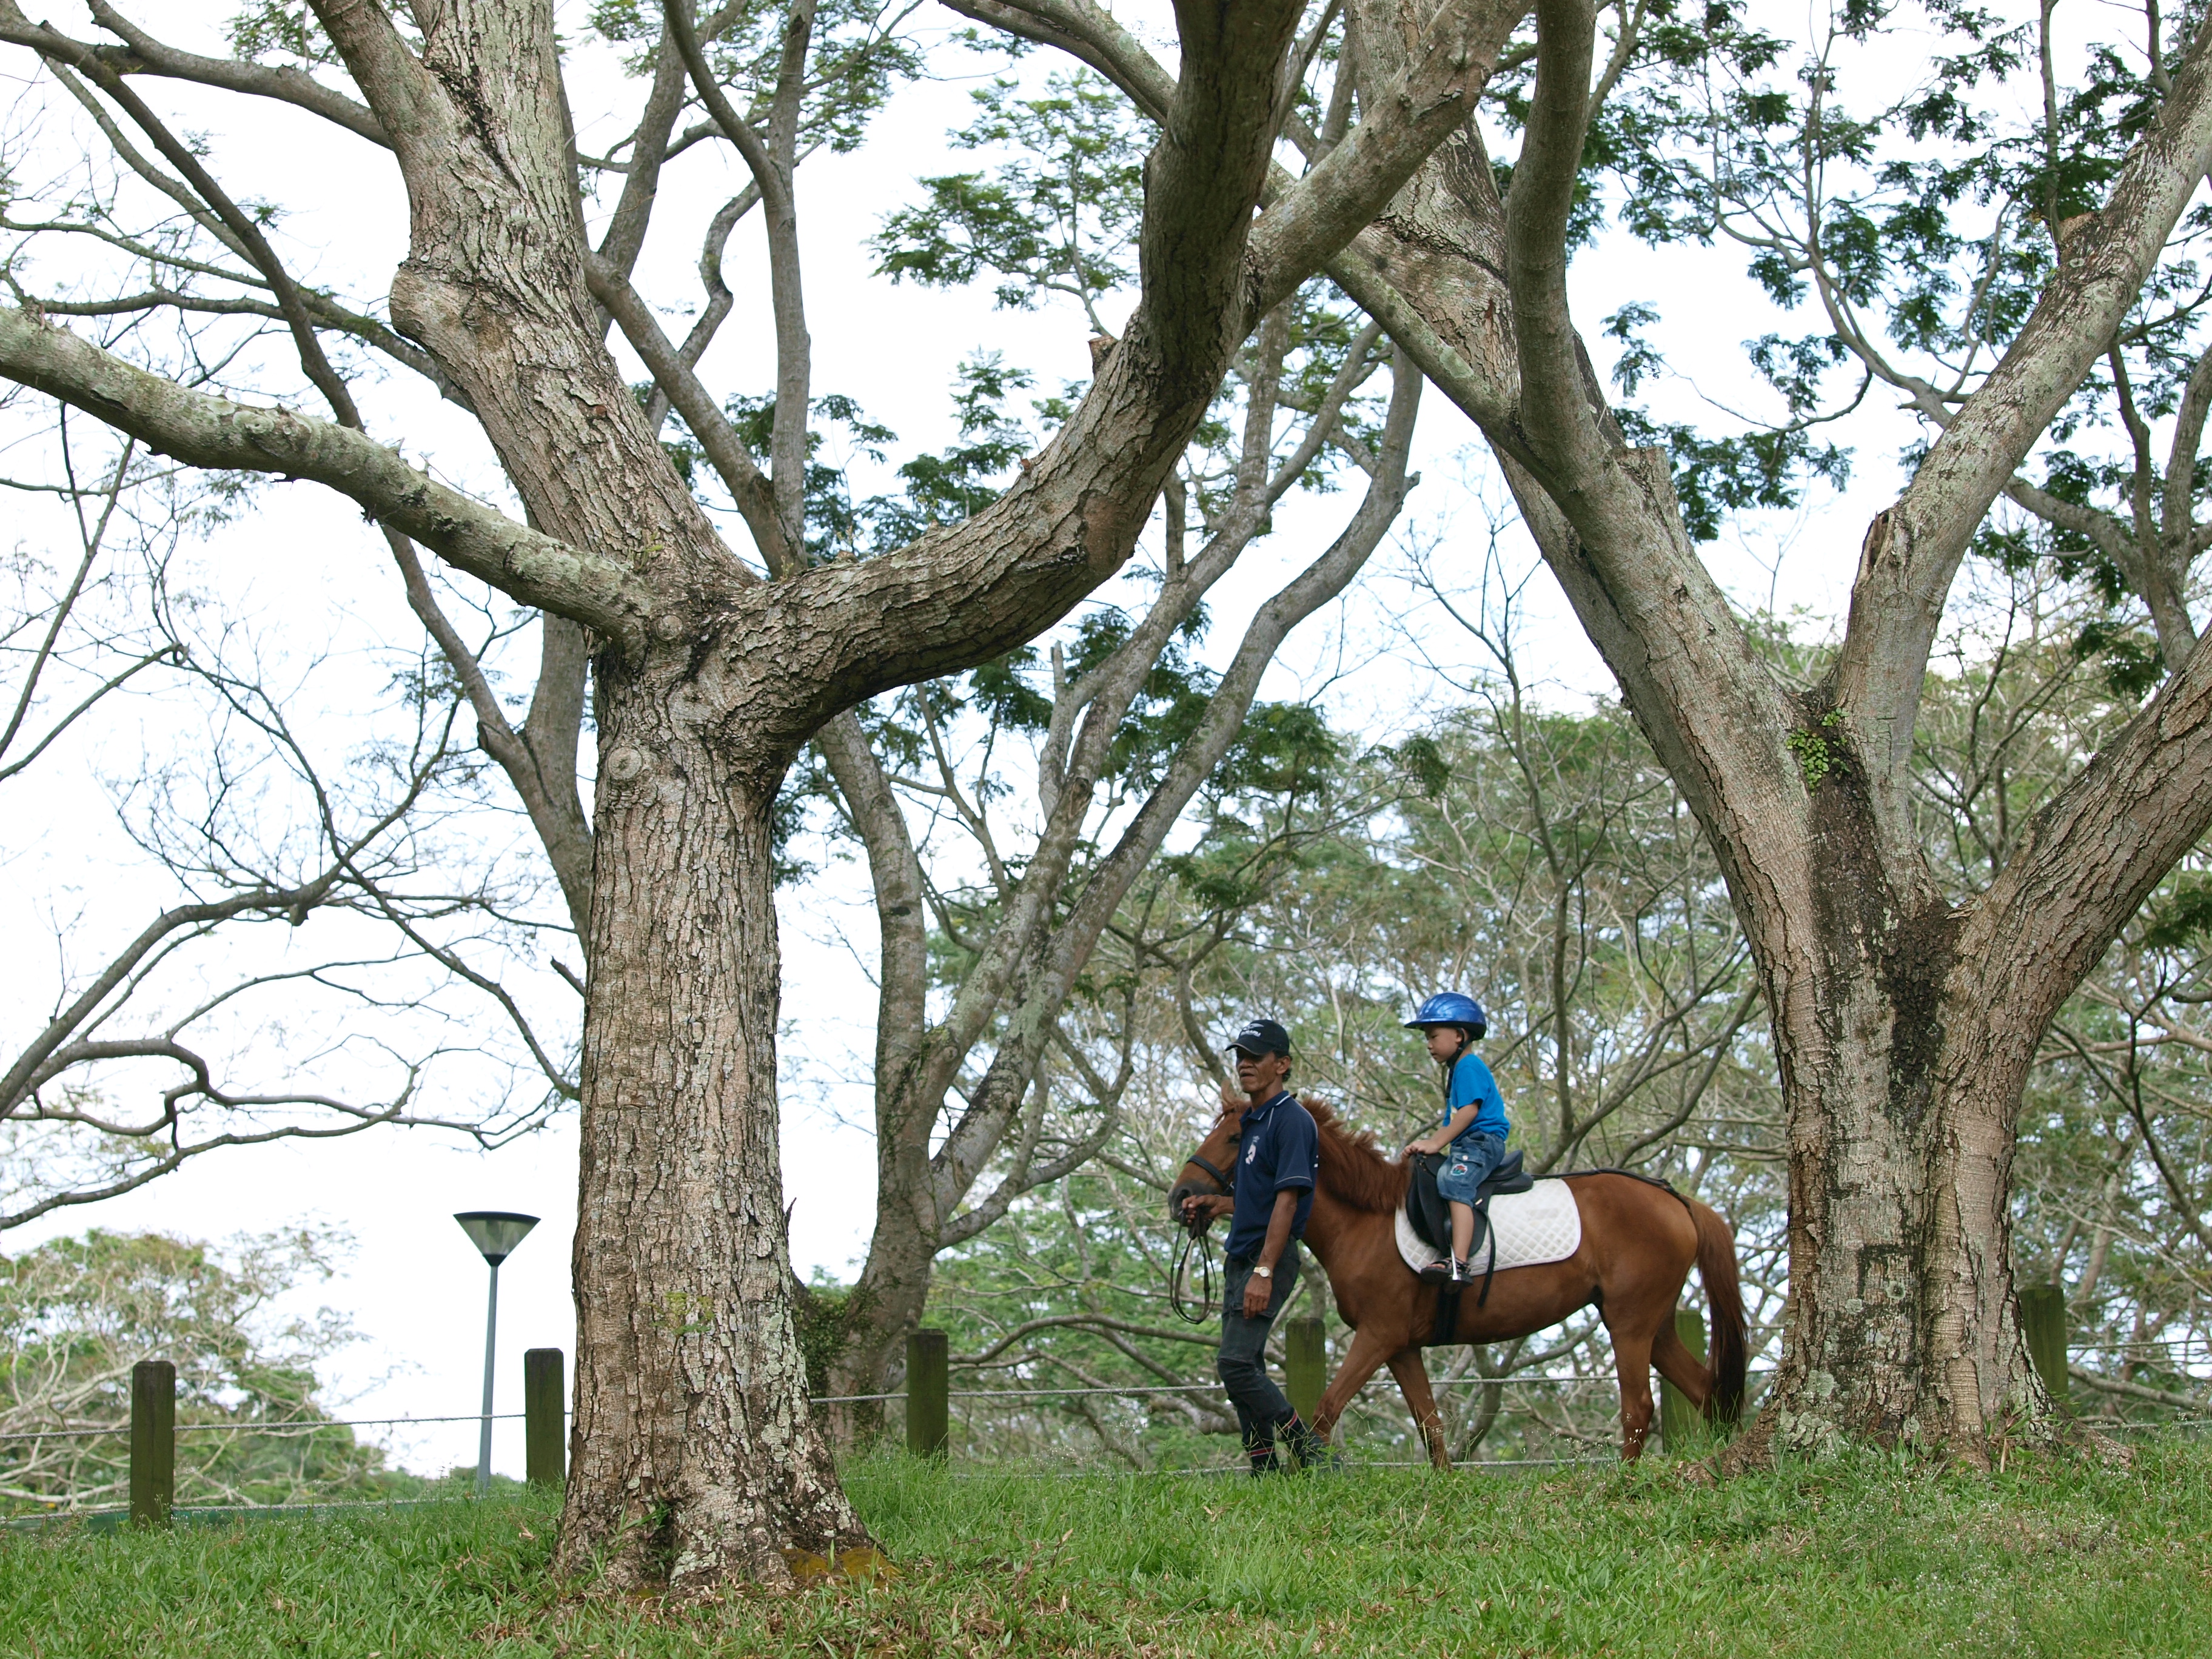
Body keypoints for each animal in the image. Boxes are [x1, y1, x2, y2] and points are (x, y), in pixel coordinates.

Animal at [1176, 1106, 1743, 1469]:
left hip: (1630, 1325)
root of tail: (1677, 1201)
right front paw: (1445, 1488)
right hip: (1654, 1326)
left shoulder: (1378, 1336)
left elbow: (1325, 1411)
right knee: (1704, 1392)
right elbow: (1431, 1425)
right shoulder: (1401, 1347)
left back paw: (1621, 1484)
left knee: (1639, 1408)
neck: (1366, 1221)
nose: (1184, 1194)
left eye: (1238, 1140)